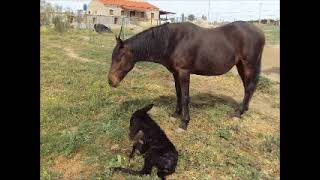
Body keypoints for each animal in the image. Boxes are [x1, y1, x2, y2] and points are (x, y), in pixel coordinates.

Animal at [107, 21, 264, 129]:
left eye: (119, 58)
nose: (111, 81)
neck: (173, 41)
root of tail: (259, 32)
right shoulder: (176, 73)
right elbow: (178, 94)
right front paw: (175, 114)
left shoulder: (184, 72)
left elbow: (185, 97)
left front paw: (184, 122)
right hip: (241, 65)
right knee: (248, 87)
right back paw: (243, 110)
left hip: (248, 65)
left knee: (249, 87)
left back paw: (238, 113)